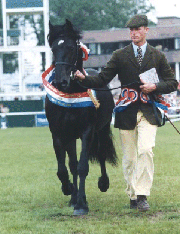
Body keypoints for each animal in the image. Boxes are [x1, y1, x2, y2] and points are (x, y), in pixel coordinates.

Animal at [44, 20, 116, 216]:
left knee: (100, 154)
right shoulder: (59, 134)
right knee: (72, 165)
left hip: (101, 131)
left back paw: (103, 184)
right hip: (71, 137)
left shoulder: (87, 132)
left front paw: (82, 205)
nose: (60, 81)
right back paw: (74, 197)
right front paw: (69, 191)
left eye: (71, 47)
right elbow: (64, 169)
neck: (70, 94)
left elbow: (83, 167)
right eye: (53, 48)